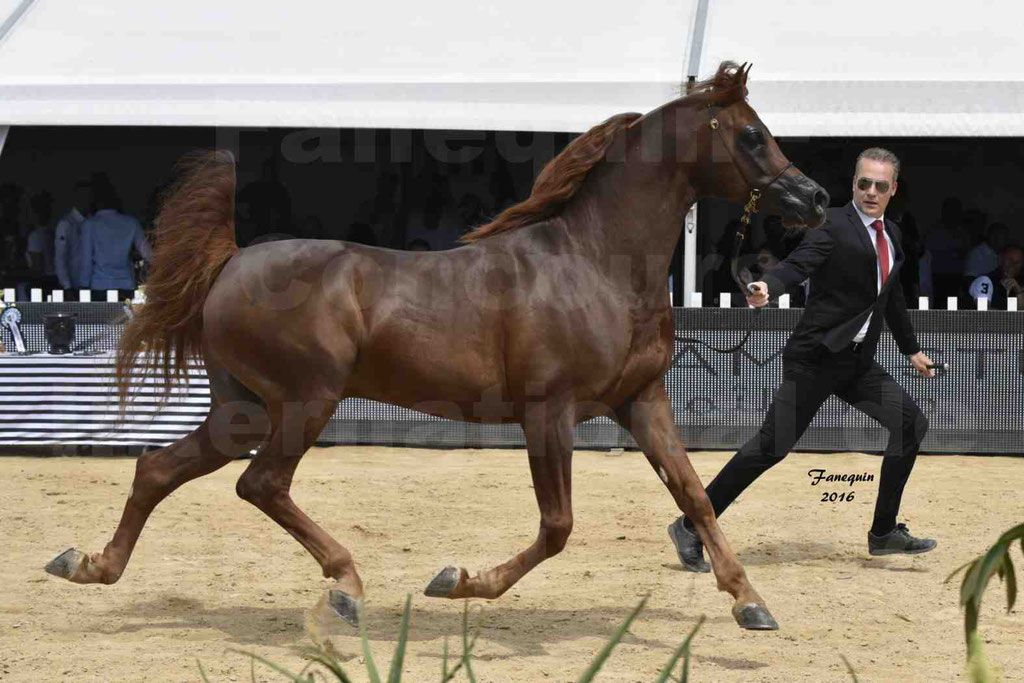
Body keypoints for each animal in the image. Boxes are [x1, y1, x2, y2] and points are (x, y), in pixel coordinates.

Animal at [48, 62, 827, 630]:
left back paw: (89, 564)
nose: (815, 198)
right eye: (752, 134)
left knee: (158, 469)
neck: (594, 261)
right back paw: (346, 585)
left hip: (240, 410)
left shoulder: (641, 400)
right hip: (304, 401)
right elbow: (558, 526)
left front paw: (751, 601)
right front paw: (457, 580)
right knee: (260, 483)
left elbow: (696, 495)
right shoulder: (548, 412)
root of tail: (231, 260)